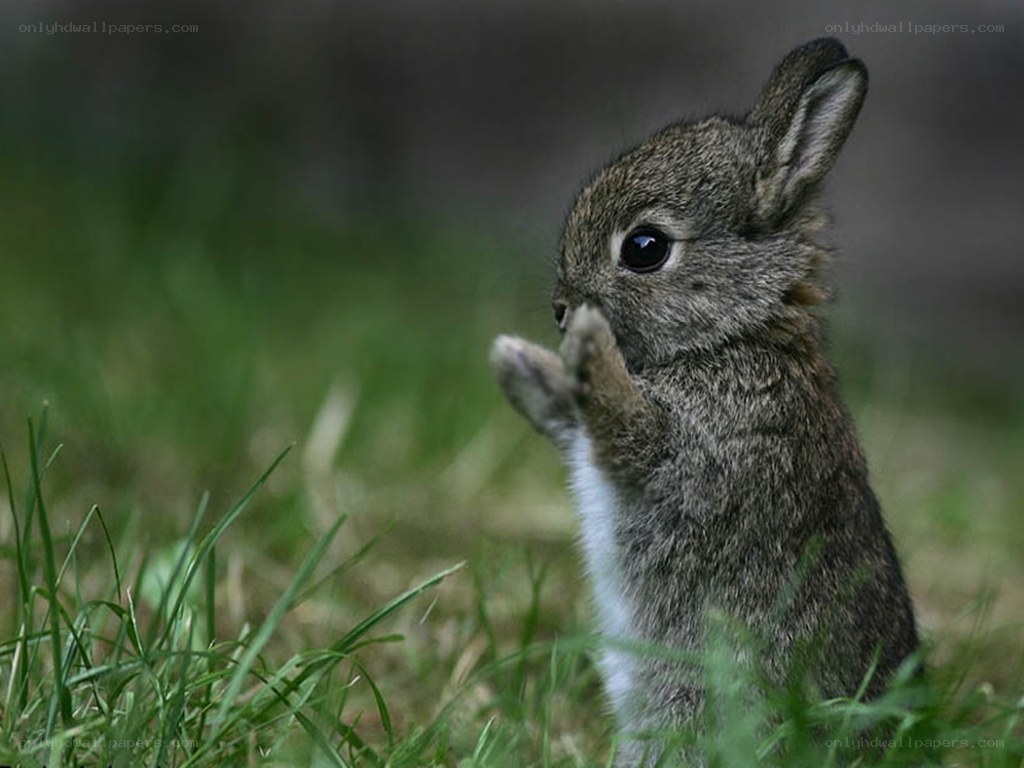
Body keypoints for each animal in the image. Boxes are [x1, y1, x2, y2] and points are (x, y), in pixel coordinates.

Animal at [490, 37, 919, 764]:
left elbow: (624, 428)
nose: (560, 309)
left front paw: (587, 346)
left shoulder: (695, 457)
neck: (733, 335)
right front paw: (517, 361)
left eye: (644, 247)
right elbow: (575, 421)